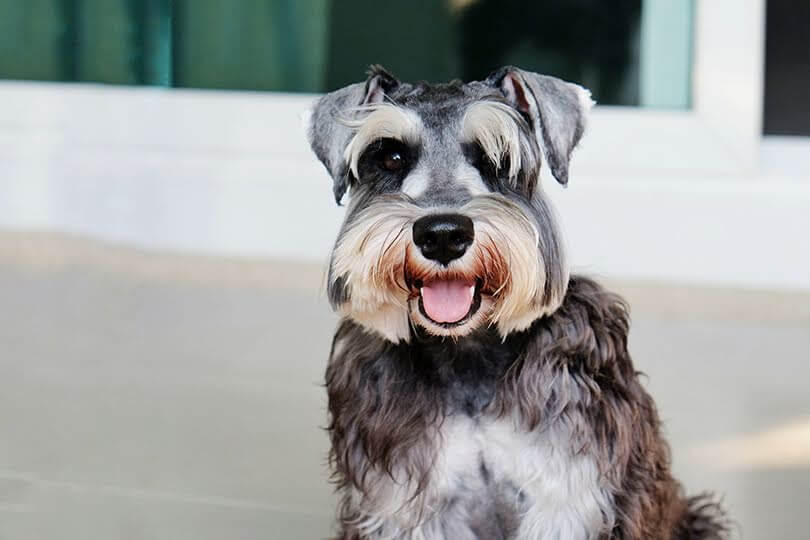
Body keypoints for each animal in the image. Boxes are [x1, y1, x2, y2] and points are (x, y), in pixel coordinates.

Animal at [304, 66, 724, 540]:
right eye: (391, 157)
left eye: (497, 158)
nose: (443, 234)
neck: (468, 354)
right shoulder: (404, 506)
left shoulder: (572, 499)